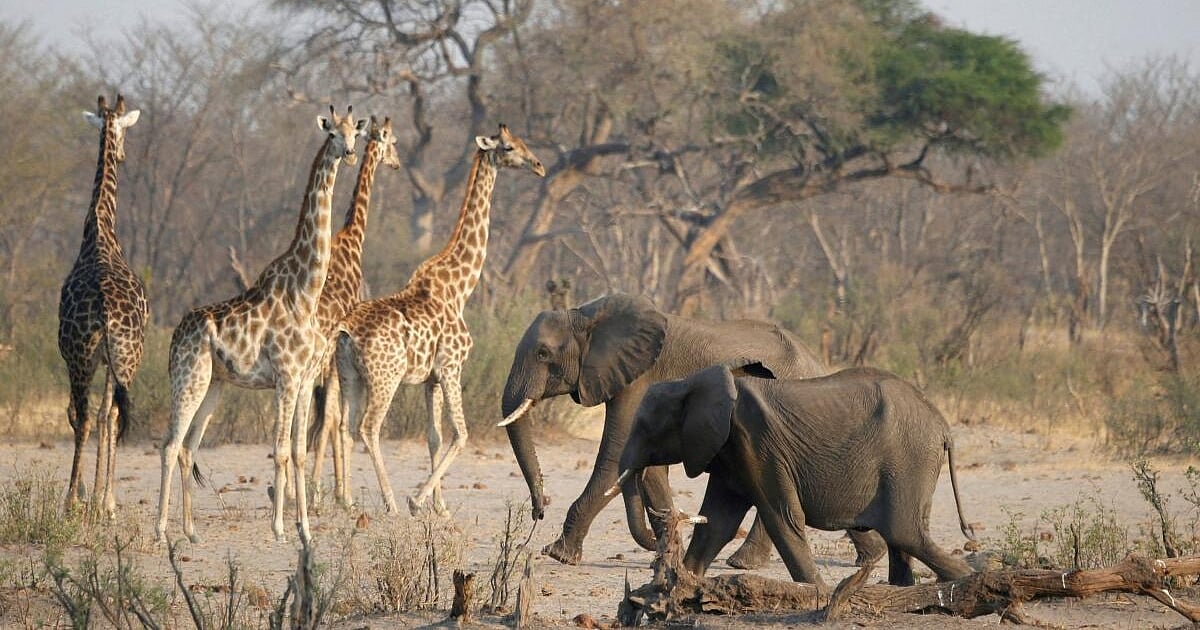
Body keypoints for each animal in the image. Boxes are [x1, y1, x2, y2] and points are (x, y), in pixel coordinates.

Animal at [498, 292, 887, 567]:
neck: (586, 314)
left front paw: (558, 554)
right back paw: (872, 556)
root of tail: (818, 363)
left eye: (543, 354)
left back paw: (742, 564)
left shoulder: (639, 377)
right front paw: (664, 550)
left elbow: (614, 456)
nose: (539, 511)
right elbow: (648, 468)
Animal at [614, 362, 975, 590]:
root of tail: (944, 427)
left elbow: (783, 517)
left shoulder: (757, 442)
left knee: (904, 533)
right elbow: (717, 522)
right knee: (904, 537)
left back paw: (967, 578)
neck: (692, 382)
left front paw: (817, 592)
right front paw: (680, 585)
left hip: (908, 458)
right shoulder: (729, 451)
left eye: (646, 427)